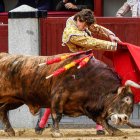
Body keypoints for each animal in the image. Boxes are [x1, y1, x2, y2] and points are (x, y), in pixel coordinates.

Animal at [0, 52, 139, 137]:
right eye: (126, 99)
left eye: (132, 107)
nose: (124, 119)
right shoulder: (59, 95)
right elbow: (57, 114)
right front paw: (56, 133)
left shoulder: (89, 107)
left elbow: (102, 120)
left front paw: (116, 131)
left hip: (16, 100)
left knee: (3, 109)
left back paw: (10, 130)